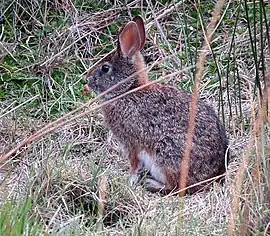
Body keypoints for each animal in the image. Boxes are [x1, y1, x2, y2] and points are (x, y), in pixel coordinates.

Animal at [87, 16, 230, 194]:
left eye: (105, 68)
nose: (87, 79)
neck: (128, 90)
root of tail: (214, 175)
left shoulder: (131, 143)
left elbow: (134, 165)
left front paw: (130, 181)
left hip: (166, 156)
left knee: (175, 187)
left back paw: (152, 183)